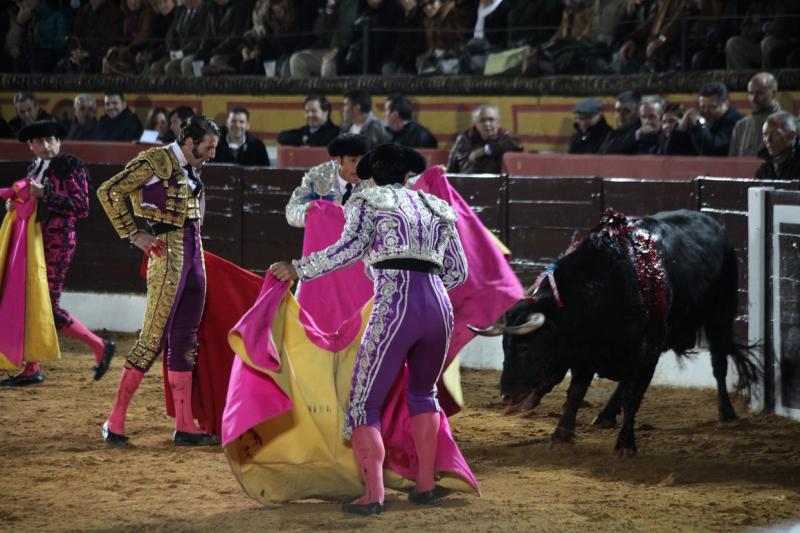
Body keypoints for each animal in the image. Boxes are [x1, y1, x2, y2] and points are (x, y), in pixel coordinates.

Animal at [472, 210, 760, 456]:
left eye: (525, 347)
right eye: (504, 346)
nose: (505, 396)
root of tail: (715, 225)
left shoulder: (646, 347)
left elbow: (633, 394)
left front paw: (626, 444)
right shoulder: (585, 353)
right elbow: (576, 392)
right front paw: (561, 436)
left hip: (720, 316)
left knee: (719, 363)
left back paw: (727, 413)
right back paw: (605, 415)